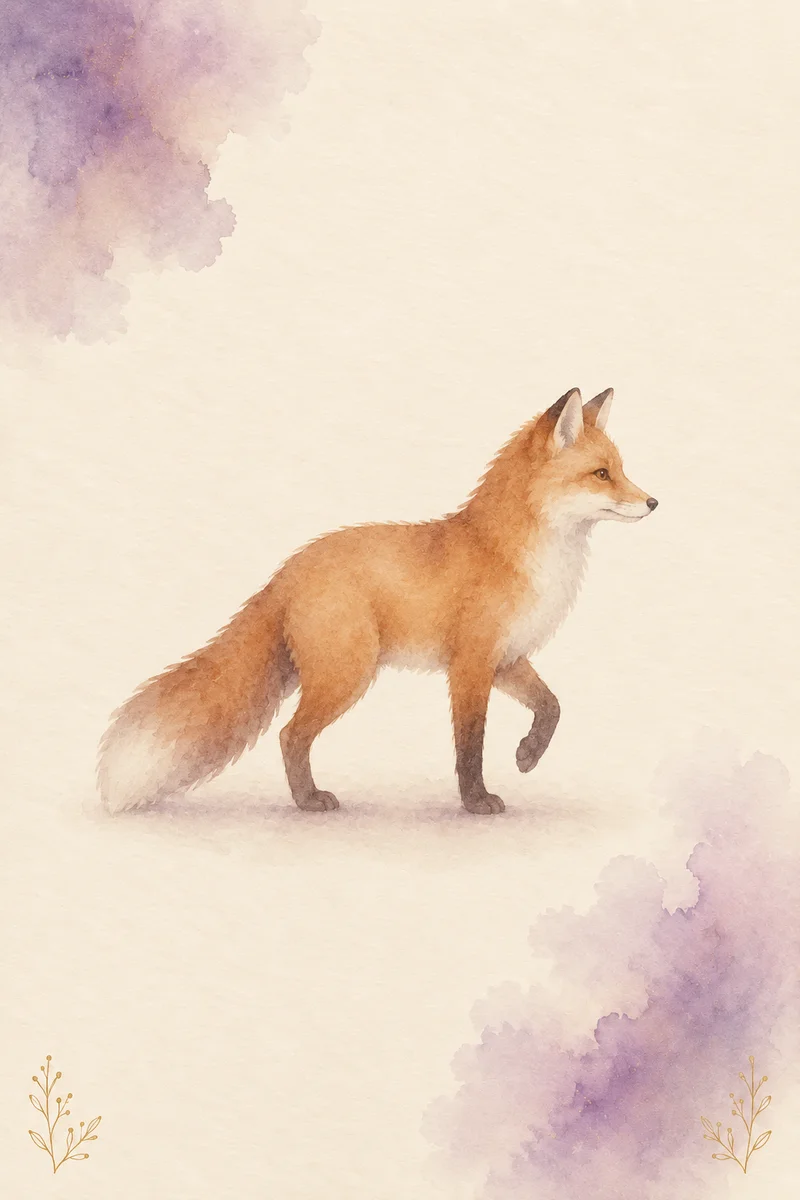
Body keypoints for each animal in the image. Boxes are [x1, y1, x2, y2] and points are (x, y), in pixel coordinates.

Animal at [99, 387, 658, 816]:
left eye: (621, 469)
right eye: (602, 474)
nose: (654, 502)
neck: (513, 552)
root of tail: (286, 571)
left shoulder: (508, 658)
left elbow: (552, 708)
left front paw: (527, 756)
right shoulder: (470, 664)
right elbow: (469, 745)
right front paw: (476, 802)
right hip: (349, 675)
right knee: (290, 735)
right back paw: (308, 802)